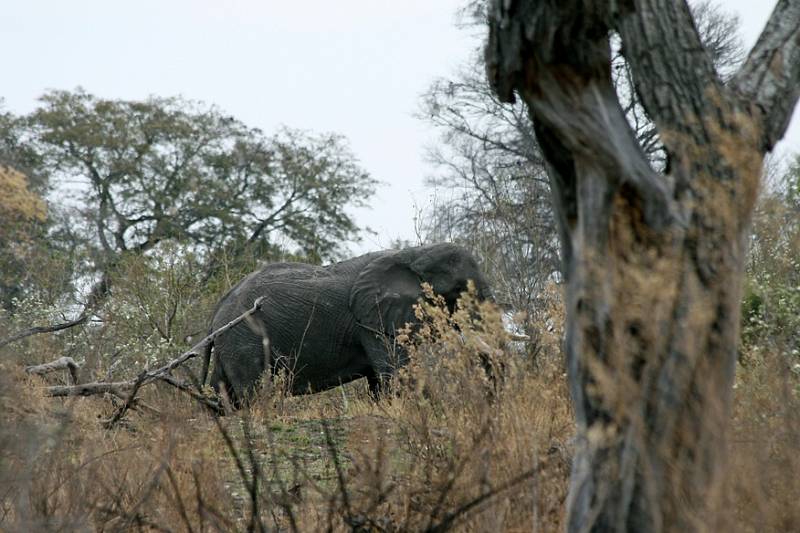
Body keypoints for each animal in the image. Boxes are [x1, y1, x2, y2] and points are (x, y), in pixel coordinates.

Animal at [200, 243, 490, 406]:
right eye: (459, 291)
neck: (413, 254)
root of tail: (216, 312)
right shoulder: (372, 319)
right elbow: (396, 372)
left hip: (231, 342)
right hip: (243, 338)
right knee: (254, 392)